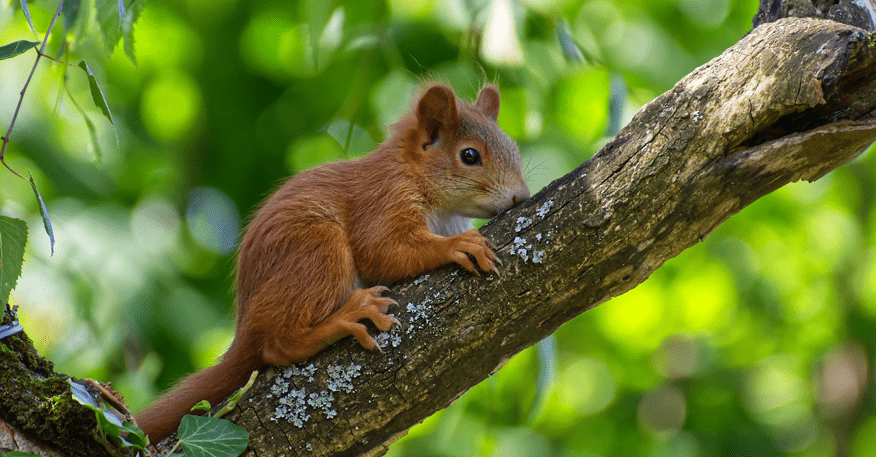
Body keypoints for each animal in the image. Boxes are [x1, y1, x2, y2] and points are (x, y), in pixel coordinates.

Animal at [134, 83, 532, 440]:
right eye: (470, 156)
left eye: (513, 147)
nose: (521, 197)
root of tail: (244, 326)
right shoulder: (384, 199)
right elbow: (384, 250)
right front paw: (458, 245)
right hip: (318, 251)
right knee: (276, 344)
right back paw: (346, 317)